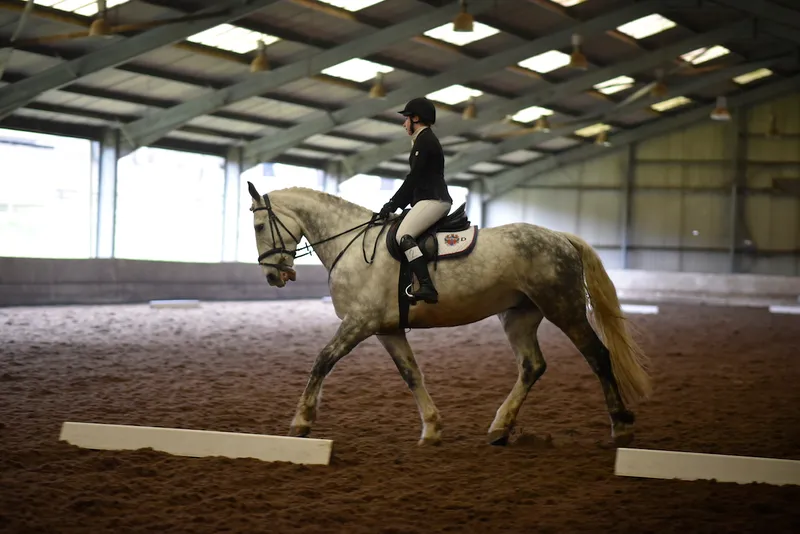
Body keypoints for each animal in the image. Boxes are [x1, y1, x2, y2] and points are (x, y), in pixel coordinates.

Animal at [248, 183, 648, 448]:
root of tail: (560, 237)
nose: (271, 277)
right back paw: (500, 428)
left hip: (564, 308)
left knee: (598, 356)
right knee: (532, 366)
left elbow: (323, 360)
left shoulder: (359, 322)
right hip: (518, 316)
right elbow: (411, 374)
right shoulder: (386, 330)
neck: (352, 245)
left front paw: (301, 422)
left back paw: (622, 427)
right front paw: (432, 428)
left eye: (258, 226)